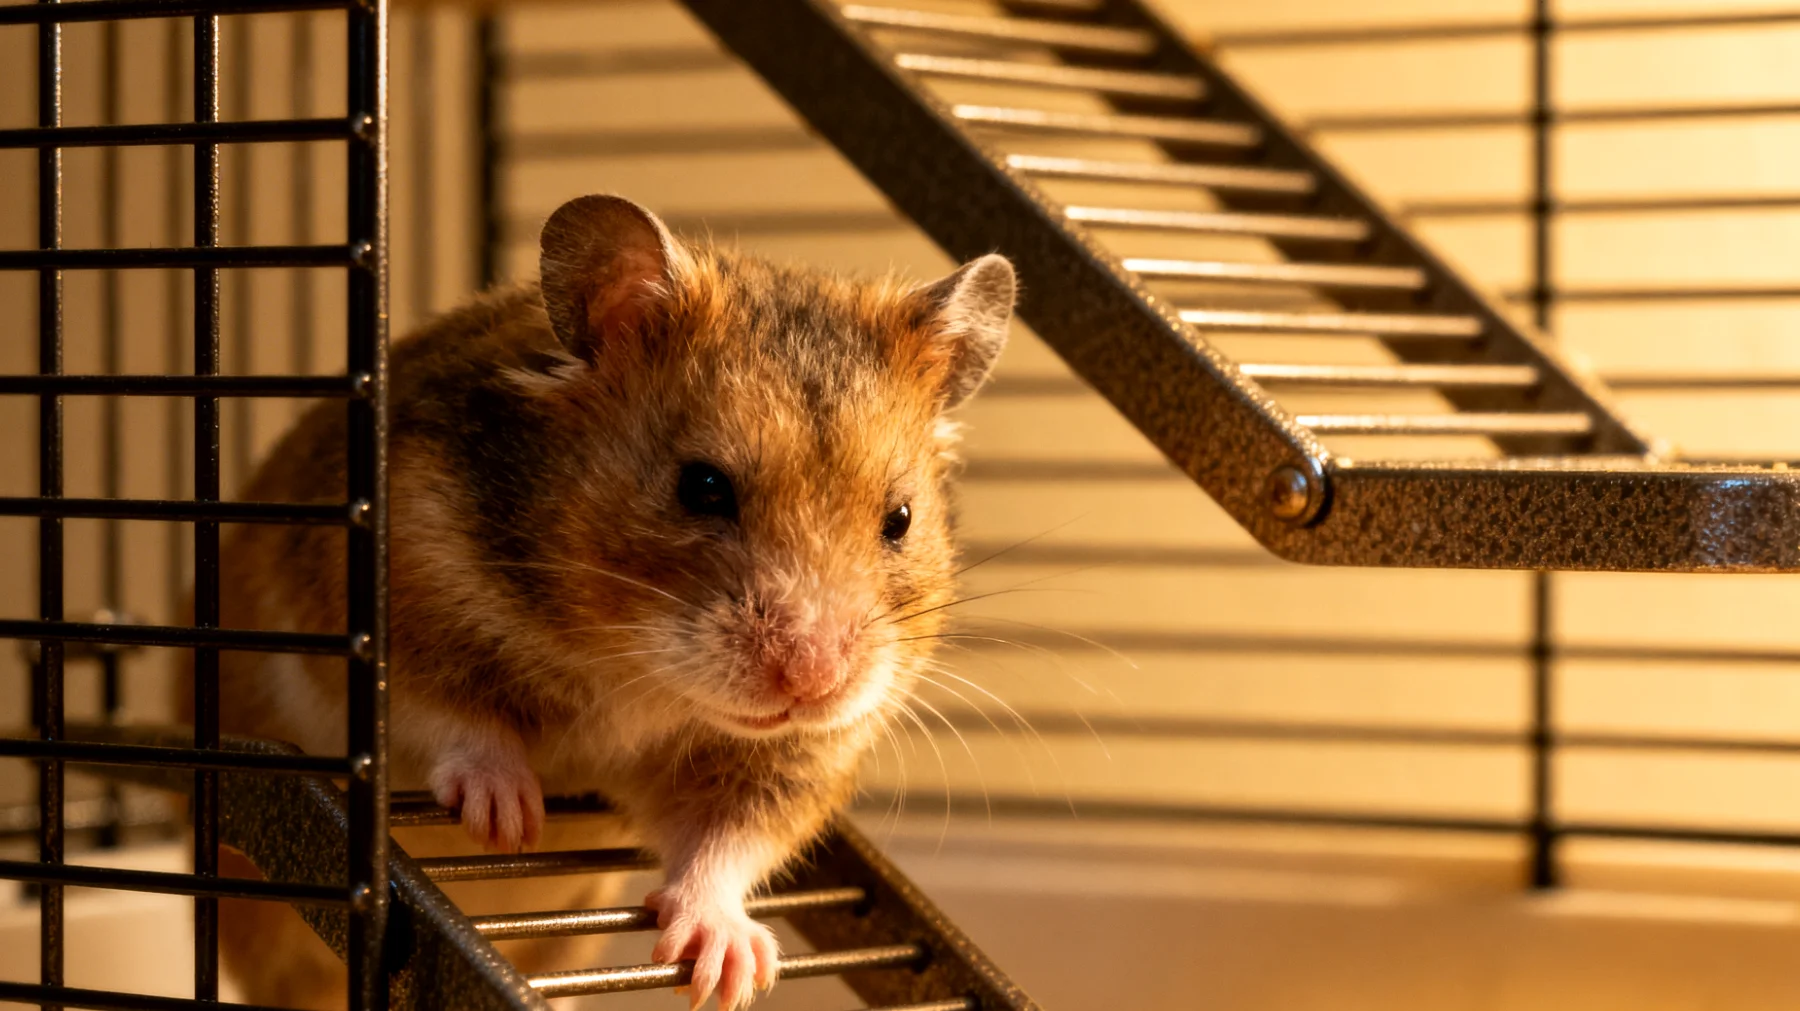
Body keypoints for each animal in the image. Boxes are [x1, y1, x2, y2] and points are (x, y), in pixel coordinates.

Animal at [203, 194, 1015, 1010]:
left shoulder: (803, 757)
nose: (810, 683)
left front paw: (728, 971)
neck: (634, 666)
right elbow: (454, 718)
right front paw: (507, 823)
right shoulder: (392, 602)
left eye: (900, 519)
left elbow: (729, 844)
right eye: (702, 486)